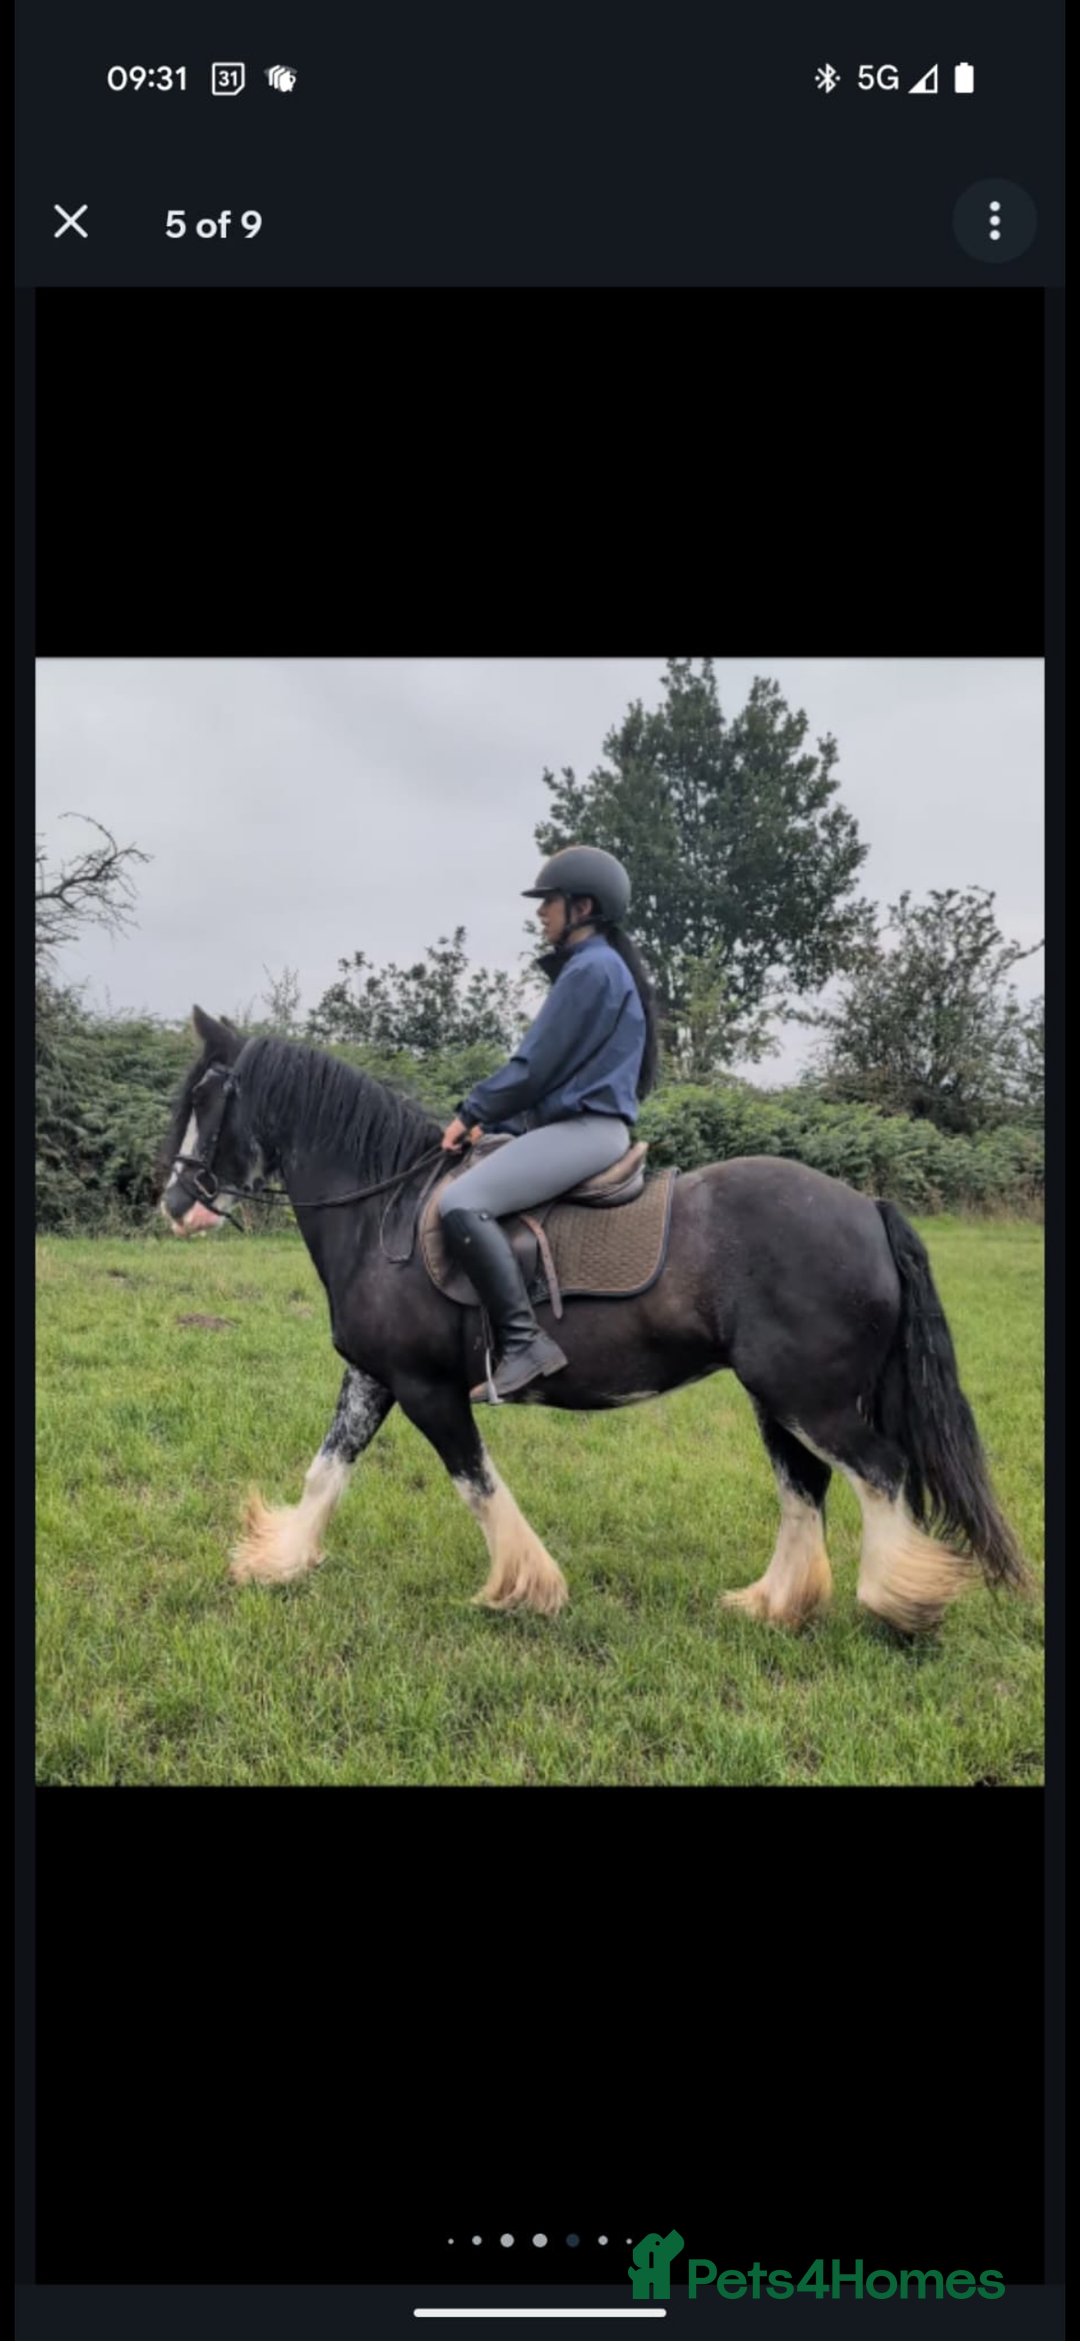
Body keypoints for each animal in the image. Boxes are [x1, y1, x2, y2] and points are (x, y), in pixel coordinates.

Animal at [156, 1007, 1032, 1634]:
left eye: (205, 1098)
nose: (173, 1203)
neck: (386, 1211)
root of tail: (866, 1207)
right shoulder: (373, 1376)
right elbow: (327, 1469)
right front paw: (278, 1561)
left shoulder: (424, 1386)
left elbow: (477, 1482)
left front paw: (527, 1587)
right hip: (777, 1397)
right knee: (806, 1485)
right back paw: (774, 1603)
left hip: (807, 1396)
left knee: (880, 1472)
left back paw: (897, 1603)